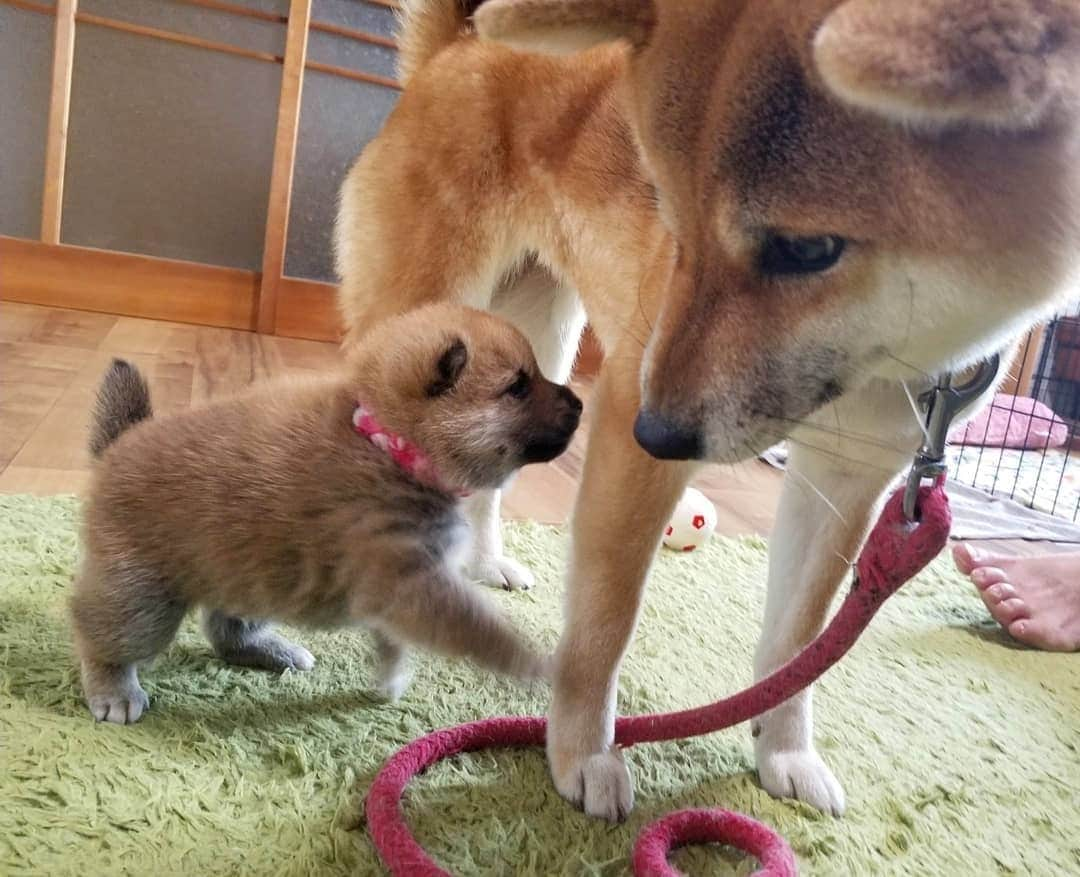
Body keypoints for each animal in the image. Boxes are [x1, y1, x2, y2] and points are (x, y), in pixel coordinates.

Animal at [73, 304, 583, 721]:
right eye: (518, 387)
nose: (579, 403)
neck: (391, 445)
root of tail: (118, 445)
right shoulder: (409, 583)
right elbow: (482, 631)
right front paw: (540, 667)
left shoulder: (402, 590)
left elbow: (395, 640)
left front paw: (391, 677)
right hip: (142, 598)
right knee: (102, 634)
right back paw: (113, 689)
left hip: (249, 573)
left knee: (226, 630)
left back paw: (271, 651)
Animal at [334, 0, 1080, 820]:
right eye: (668, 213)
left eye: (808, 249)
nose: (656, 431)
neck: (891, 365)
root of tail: (456, 53)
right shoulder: (630, 415)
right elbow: (605, 621)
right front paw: (583, 752)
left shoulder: (849, 477)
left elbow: (802, 638)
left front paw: (784, 752)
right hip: (427, 322)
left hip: (535, 351)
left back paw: (481, 561)